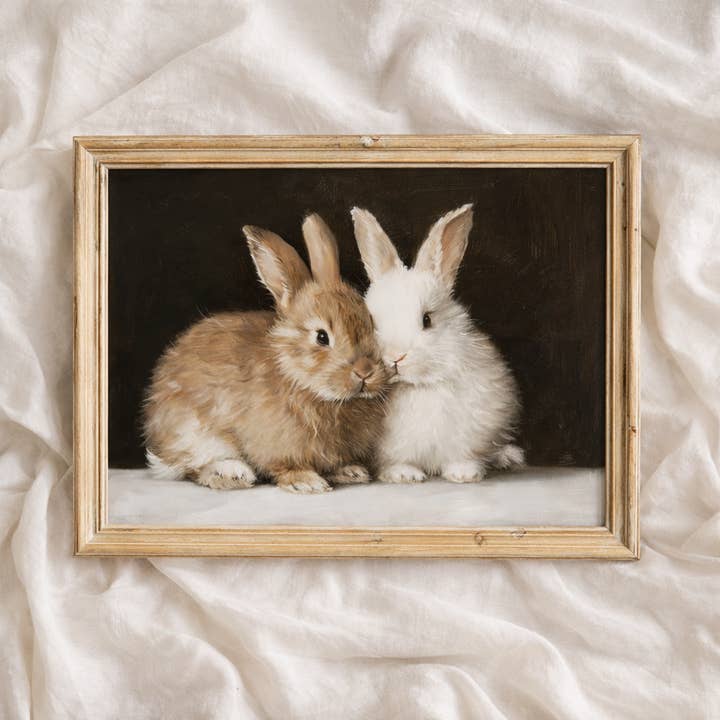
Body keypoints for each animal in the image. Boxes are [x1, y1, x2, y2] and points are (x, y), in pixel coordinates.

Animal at [143, 214, 390, 493]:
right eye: (322, 337)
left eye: (370, 323)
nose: (365, 371)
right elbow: (283, 466)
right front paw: (306, 482)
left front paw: (349, 471)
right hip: (193, 434)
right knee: (193, 467)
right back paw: (231, 474)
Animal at [350, 203, 524, 484]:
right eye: (372, 322)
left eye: (427, 319)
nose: (395, 357)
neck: (416, 386)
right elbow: (394, 461)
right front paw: (404, 475)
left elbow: (463, 456)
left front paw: (464, 474)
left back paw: (508, 457)